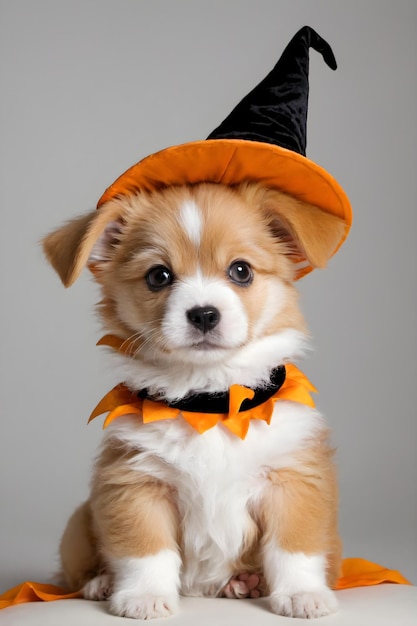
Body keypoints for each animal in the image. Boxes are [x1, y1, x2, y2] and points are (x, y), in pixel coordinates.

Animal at [44, 182, 344, 620]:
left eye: (241, 270)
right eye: (158, 276)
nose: (204, 314)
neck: (210, 401)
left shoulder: (292, 481)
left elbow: (294, 547)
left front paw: (302, 593)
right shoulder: (137, 483)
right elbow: (145, 550)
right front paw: (143, 597)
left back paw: (244, 582)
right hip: (77, 526)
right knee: (78, 571)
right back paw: (101, 583)